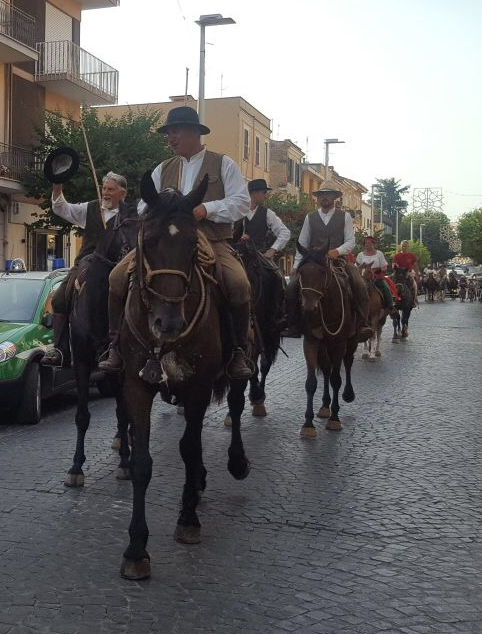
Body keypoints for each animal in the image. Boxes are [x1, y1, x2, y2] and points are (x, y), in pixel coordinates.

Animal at [64, 207, 137, 484]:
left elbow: (124, 413)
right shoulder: (82, 363)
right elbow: (82, 416)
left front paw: (126, 463)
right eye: (126, 232)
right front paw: (76, 467)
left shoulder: (123, 368)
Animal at [118, 172, 250, 576]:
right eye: (149, 240)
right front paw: (136, 548)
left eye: (193, 243)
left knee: (236, 406)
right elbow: (143, 463)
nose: (169, 322)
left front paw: (188, 519)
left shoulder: (198, 387)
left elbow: (189, 448)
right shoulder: (136, 385)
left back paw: (236, 462)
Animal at [294, 244, 358, 436]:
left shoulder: (339, 344)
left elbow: (337, 379)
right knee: (326, 369)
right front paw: (308, 423)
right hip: (324, 347)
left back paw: (348, 394)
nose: (309, 309)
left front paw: (335, 419)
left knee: (347, 363)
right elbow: (311, 383)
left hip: (350, 342)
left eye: (322, 272)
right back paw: (324, 406)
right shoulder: (311, 343)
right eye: (301, 273)